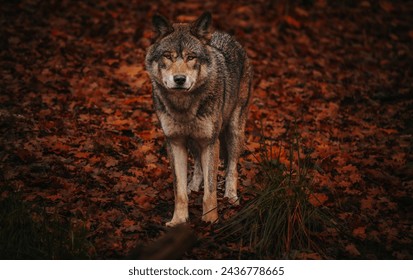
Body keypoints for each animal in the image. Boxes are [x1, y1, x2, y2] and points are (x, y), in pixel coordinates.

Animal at [145, 10, 251, 226]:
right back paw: (193, 185)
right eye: (168, 56)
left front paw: (210, 220)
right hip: (193, 140)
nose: (179, 79)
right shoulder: (175, 142)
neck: (184, 107)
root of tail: (224, 34)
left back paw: (231, 196)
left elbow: (210, 190)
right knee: (198, 166)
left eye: (191, 57)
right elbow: (179, 191)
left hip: (233, 131)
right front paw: (178, 220)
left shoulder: (210, 142)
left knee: (232, 167)